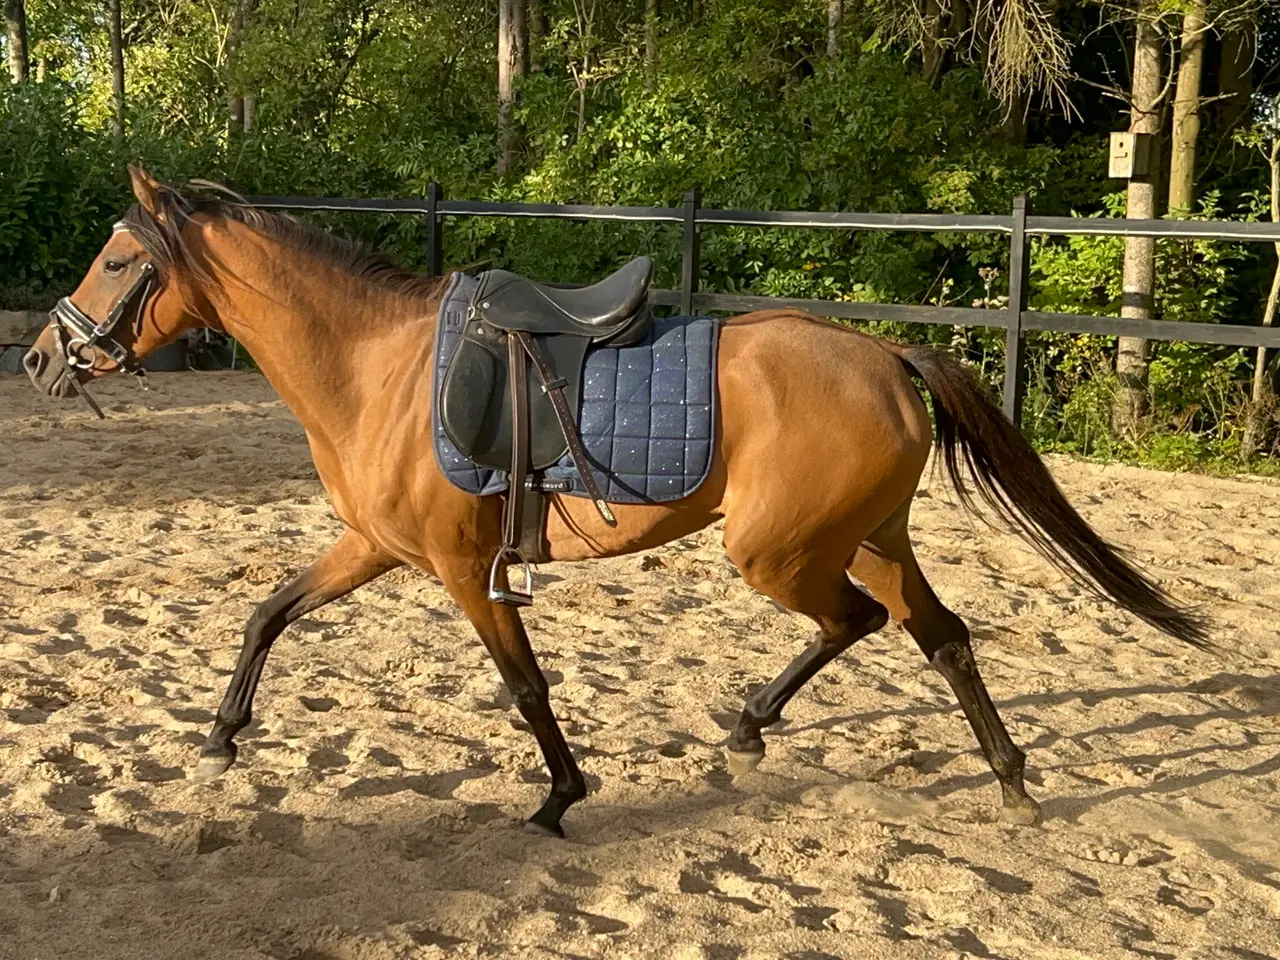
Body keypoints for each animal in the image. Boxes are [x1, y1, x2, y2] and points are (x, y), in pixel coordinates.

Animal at [22, 166, 1208, 837]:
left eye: (118, 259)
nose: (39, 359)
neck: (377, 367)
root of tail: (884, 356)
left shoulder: (464, 572)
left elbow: (525, 686)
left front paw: (559, 796)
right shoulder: (372, 547)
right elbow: (267, 613)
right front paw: (221, 738)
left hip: (783, 553)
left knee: (860, 624)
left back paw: (757, 727)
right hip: (870, 537)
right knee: (941, 636)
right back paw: (1005, 779)